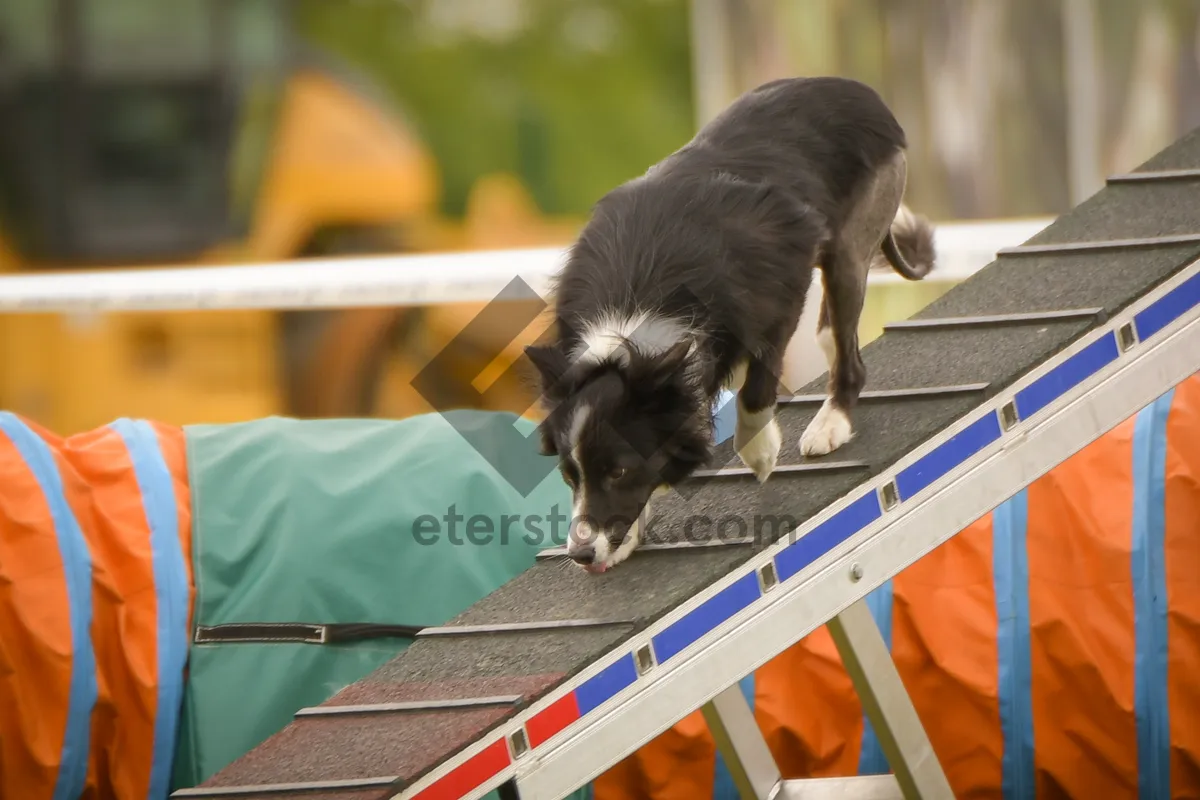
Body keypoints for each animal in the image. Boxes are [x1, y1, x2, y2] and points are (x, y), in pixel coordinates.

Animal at [528, 76, 936, 575]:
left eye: (619, 470)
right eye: (570, 475)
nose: (582, 555)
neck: (635, 316)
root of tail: (854, 90)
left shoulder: (782, 283)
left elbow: (757, 386)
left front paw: (759, 453)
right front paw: (626, 539)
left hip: (850, 238)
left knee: (847, 354)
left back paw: (829, 424)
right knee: (830, 333)